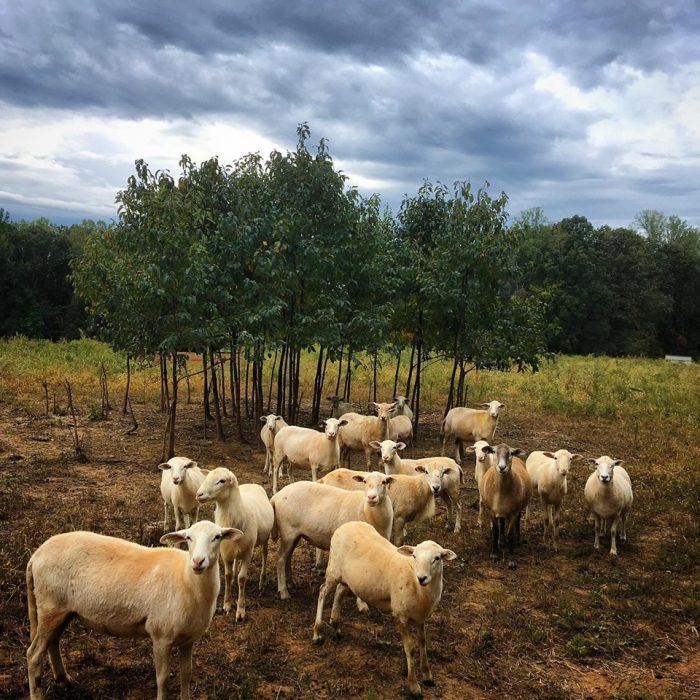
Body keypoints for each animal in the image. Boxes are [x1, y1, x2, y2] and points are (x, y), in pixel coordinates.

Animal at [26, 520, 243, 700]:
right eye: (188, 538)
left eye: (217, 537)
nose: (198, 562)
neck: (186, 579)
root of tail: (36, 555)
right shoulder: (161, 636)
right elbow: (163, 678)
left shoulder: (188, 639)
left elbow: (186, 675)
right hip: (50, 606)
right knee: (33, 655)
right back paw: (38, 692)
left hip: (62, 610)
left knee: (53, 642)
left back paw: (63, 679)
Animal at [197, 468, 276, 620]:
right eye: (207, 476)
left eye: (222, 481)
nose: (198, 494)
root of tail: (252, 484)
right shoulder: (224, 553)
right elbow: (227, 576)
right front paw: (227, 605)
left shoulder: (248, 553)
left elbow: (242, 578)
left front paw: (240, 610)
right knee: (235, 562)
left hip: (266, 537)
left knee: (264, 554)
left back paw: (262, 580)